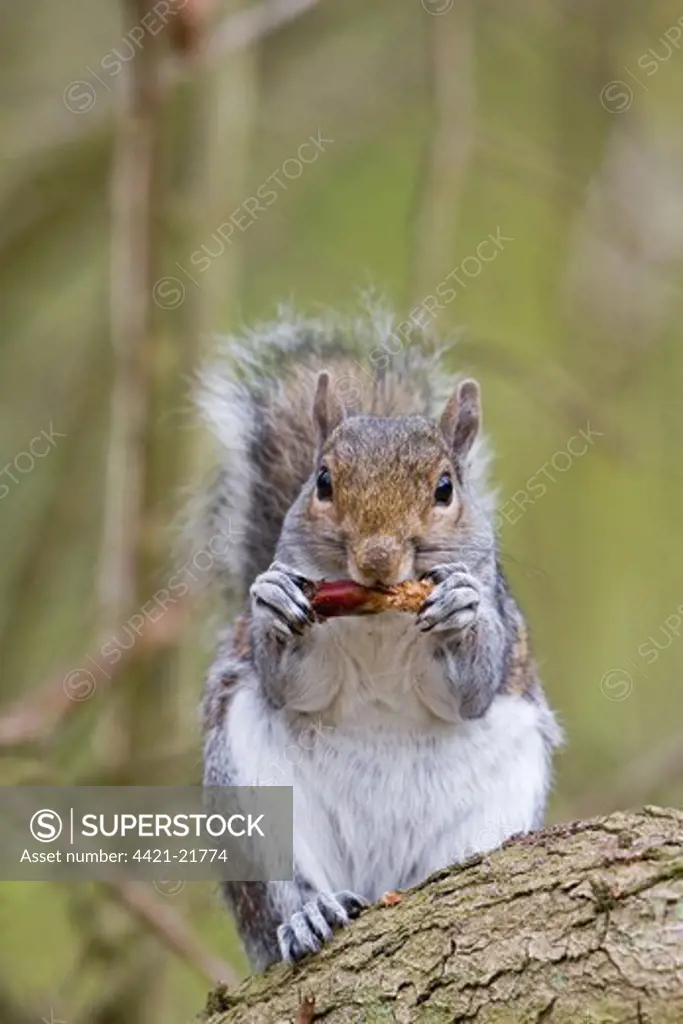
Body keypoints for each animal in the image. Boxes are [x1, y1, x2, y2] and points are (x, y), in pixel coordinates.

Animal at [196, 305, 561, 974]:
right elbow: (291, 683)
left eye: (445, 488)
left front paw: (460, 609)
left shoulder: (493, 629)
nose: (377, 559)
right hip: (252, 801)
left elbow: (471, 689)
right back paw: (308, 916)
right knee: (286, 889)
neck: (379, 618)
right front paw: (276, 602)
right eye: (322, 482)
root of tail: (380, 879)